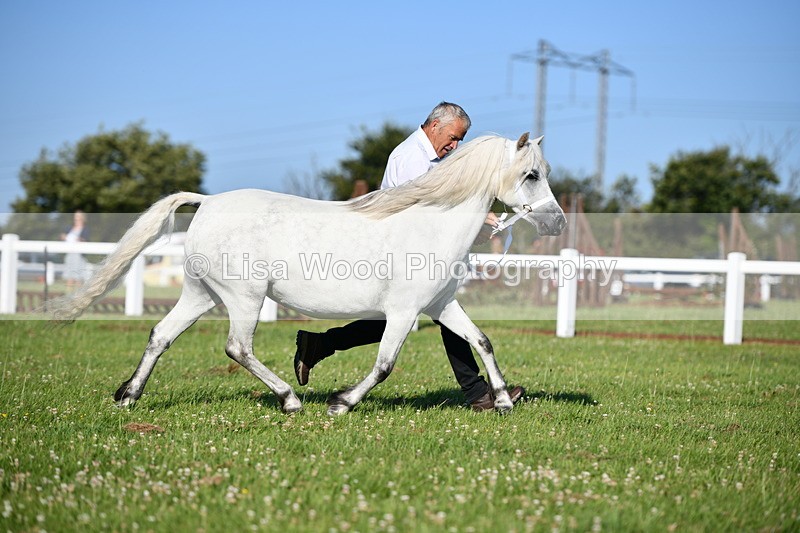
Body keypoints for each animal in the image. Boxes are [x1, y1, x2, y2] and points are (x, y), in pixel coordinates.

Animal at [51, 132, 566, 415]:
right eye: (532, 175)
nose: (557, 223)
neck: (431, 223)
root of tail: (209, 202)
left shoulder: (439, 305)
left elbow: (480, 342)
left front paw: (503, 399)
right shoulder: (404, 312)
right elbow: (384, 364)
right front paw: (342, 403)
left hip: (201, 294)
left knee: (160, 334)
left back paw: (128, 396)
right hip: (244, 298)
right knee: (237, 348)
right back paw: (290, 399)